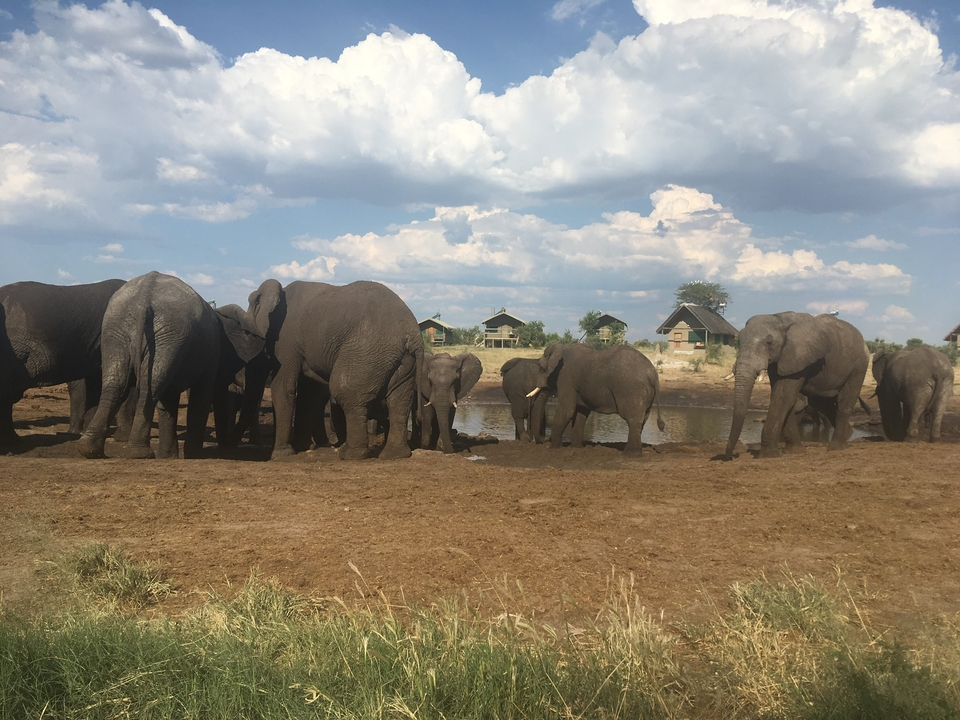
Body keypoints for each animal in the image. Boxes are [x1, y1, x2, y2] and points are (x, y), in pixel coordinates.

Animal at [77, 272, 265, 459]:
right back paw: (139, 453)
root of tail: (145, 296)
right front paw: (193, 455)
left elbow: (169, 399)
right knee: (149, 388)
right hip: (161, 333)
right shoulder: (212, 350)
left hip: (122, 330)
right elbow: (201, 397)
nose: (229, 444)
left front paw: (169, 456)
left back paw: (90, 449)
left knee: (117, 383)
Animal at [244, 279, 423, 460]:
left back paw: (350, 454)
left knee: (344, 390)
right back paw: (394, 455)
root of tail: (411, 335)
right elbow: (309, 392)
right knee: (399, 401)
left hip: (368, 353)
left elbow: (284, 385)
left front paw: (281, 455)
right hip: (404, 361)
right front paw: (303, 447)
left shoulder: (286, 339)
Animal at [529, 343, 665, 455]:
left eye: (542, 369)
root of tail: (653, 373)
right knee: (643, 418)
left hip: (631, 389)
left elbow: (567, 410)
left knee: (632, 419)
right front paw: (576, 448)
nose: (546, 439)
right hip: (646, 393)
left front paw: (554, 449)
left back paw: (630, 454)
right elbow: (581, 413)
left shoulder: (566, 378)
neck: (561, 346)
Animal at [725, 312, 868, 459]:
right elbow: (784, 397)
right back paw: (848, 433)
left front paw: (769, 455)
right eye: (739, 341)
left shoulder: (797, 357)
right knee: (821, 403)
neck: (778, 318)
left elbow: (783, 397)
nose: (731, 456)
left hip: (859, 366)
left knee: (845, 402)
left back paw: (836, 447)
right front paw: (795, 451)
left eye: (769, 343)